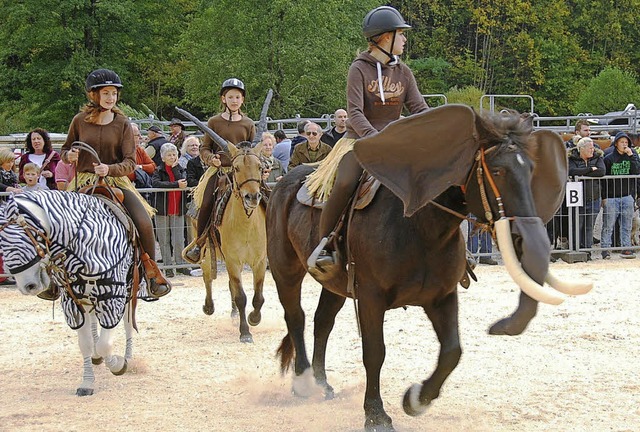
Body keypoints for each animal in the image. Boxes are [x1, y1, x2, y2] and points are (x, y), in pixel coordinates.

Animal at [0, 189, 154, 394]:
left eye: (21, 239)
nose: (28, 286)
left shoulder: (112, 296)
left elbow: (106, 343)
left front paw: (118, 364)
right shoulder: (72, 302)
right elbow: (86, 343)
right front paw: (87, 382)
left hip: (130, 289)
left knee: (128, 322)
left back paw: (128, 357)